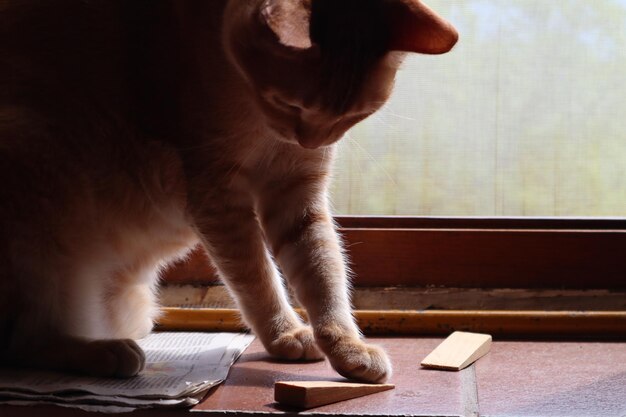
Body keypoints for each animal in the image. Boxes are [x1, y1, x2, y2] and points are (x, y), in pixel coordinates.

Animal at [0, 0, 454, 382]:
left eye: (354, 115)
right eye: (289, 104)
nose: (308, 141)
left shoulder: (297, 194)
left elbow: (323, 276)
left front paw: (345, 346)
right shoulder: (219, 198)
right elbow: (258, 278)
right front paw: (284, 333)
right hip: (34, 164)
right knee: (24, 339)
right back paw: (107, 353)